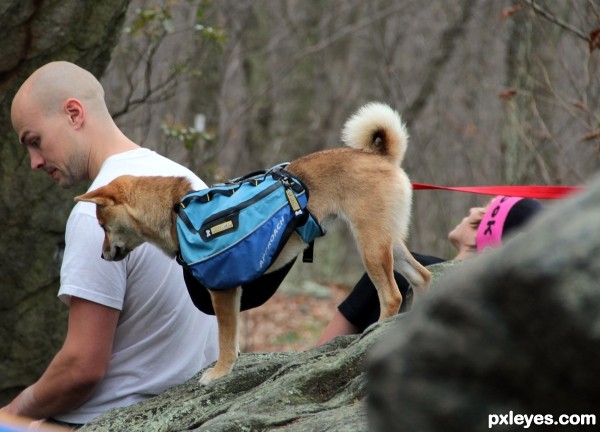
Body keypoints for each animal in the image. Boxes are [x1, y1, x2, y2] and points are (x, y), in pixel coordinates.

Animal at [75, 103, 432, 386]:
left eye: (102, 225)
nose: (102, 255)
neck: (179, 213)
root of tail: (380, 156)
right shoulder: (232, 292)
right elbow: (231, 339)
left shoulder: (222, 292)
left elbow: (224, 338)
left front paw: (219, 373)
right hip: (389, 243)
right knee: (422, 277)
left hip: (370, 245)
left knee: (392, 295)